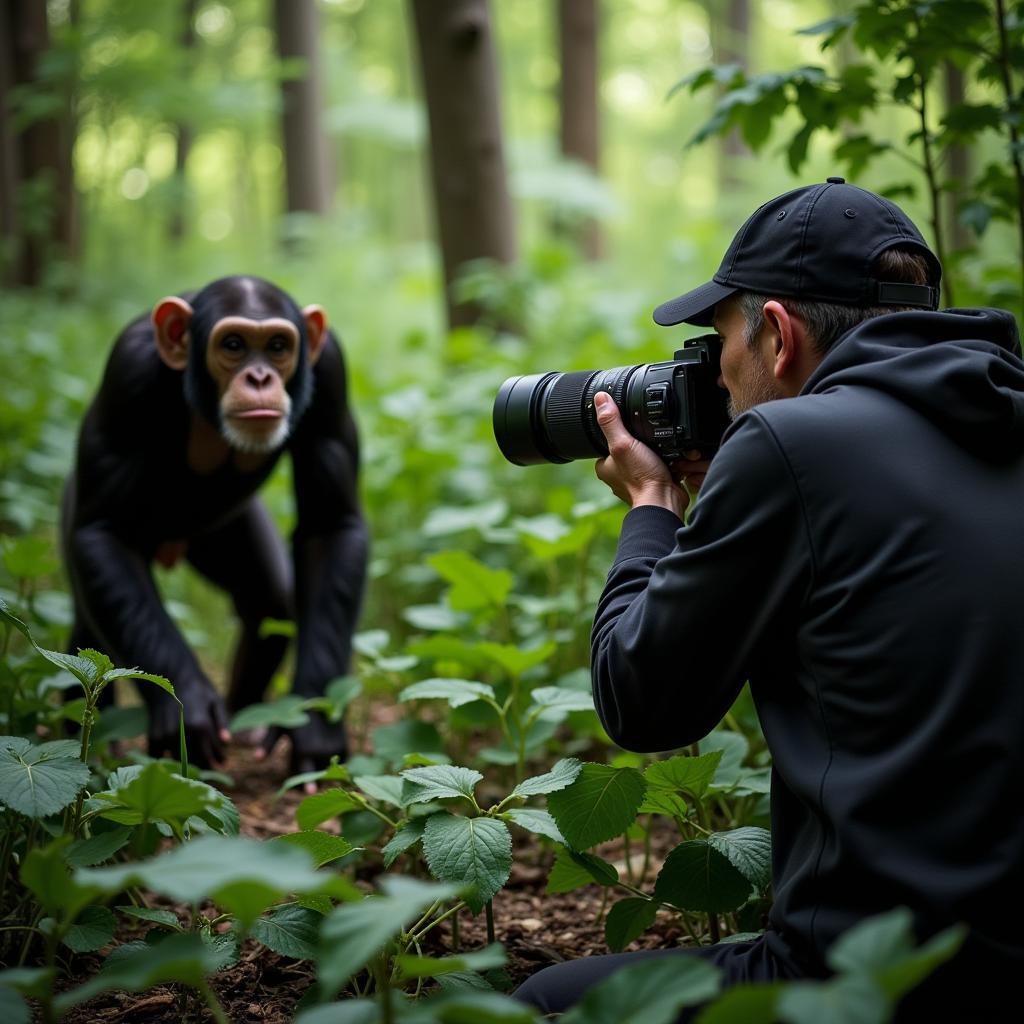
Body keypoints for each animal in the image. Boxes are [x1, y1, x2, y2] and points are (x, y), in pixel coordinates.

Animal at [58, 276, 366, 770]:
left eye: (277, 346)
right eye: (234, 345)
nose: (259, 377)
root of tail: (170, 546)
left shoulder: (333, 373)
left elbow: (329, 526)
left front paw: (315, 726)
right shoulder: (128, 373)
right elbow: (102, 529)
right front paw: (188, 702)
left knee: (268, 601)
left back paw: (247, 720)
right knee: (87, 629)